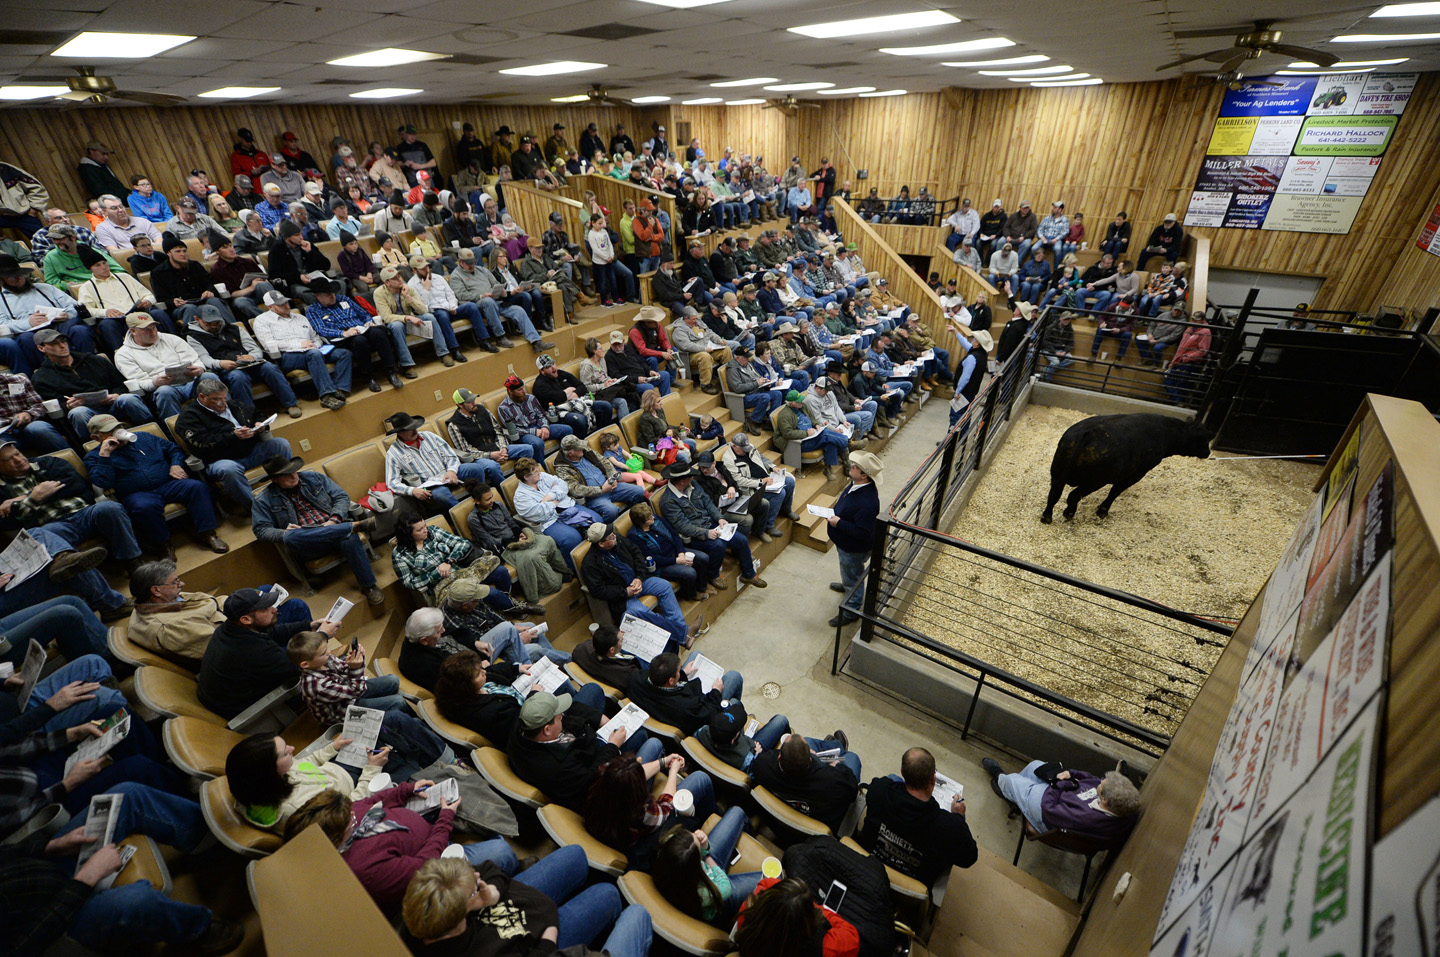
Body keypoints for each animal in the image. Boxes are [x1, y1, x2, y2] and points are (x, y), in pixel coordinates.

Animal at [1042, 411, 1209, 523]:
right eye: (1202, 440)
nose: (1208, 452)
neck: (1166, 433)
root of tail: (1088, 433)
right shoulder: (1136, 474)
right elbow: (1115, 492)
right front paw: (1102, 511)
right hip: (1094, 481)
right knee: (1073, 496)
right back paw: (1069, 514)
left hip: (1057, 472)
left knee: (1054, 494)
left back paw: (1047, 517)